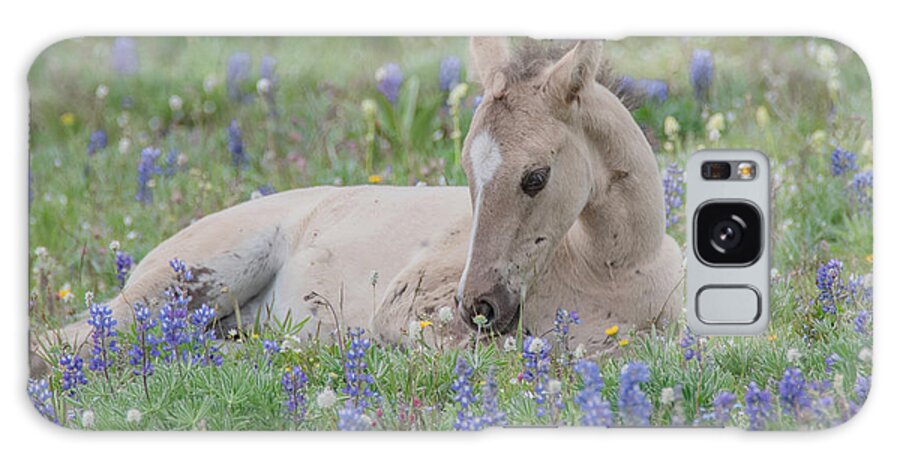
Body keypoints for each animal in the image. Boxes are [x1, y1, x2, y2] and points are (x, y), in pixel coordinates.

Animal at [33, 38, 684, 376]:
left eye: (535, 177)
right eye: (466, 172)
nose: (479, 305)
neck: (612, 271)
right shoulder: (407, 307)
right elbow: (503, 350)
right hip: (179, 286)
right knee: (68, 341)